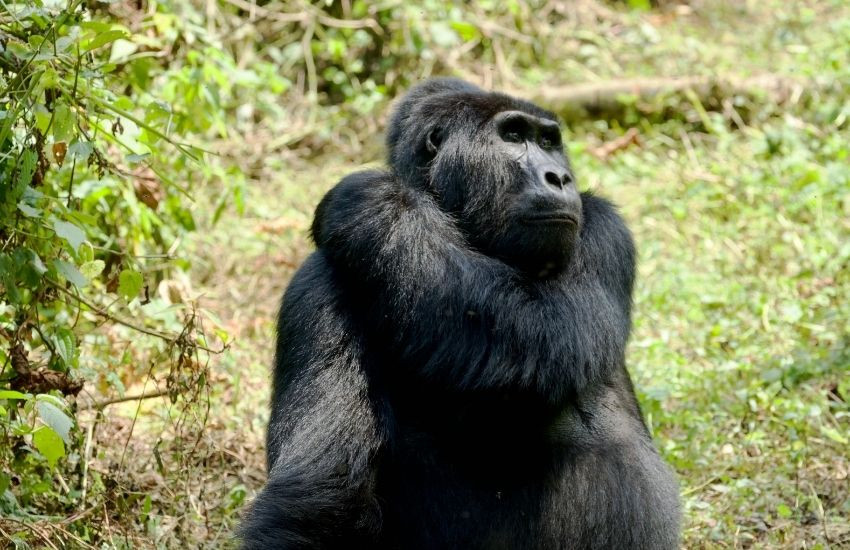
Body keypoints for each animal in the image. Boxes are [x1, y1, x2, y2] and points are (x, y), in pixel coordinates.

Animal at [237, 78, 676, 550]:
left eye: (549, 142)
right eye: (513, 136)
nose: (559, 176)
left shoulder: (604, 229)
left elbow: (552, 334)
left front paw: (373, 205)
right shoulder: (317, 281)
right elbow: (321, 491)